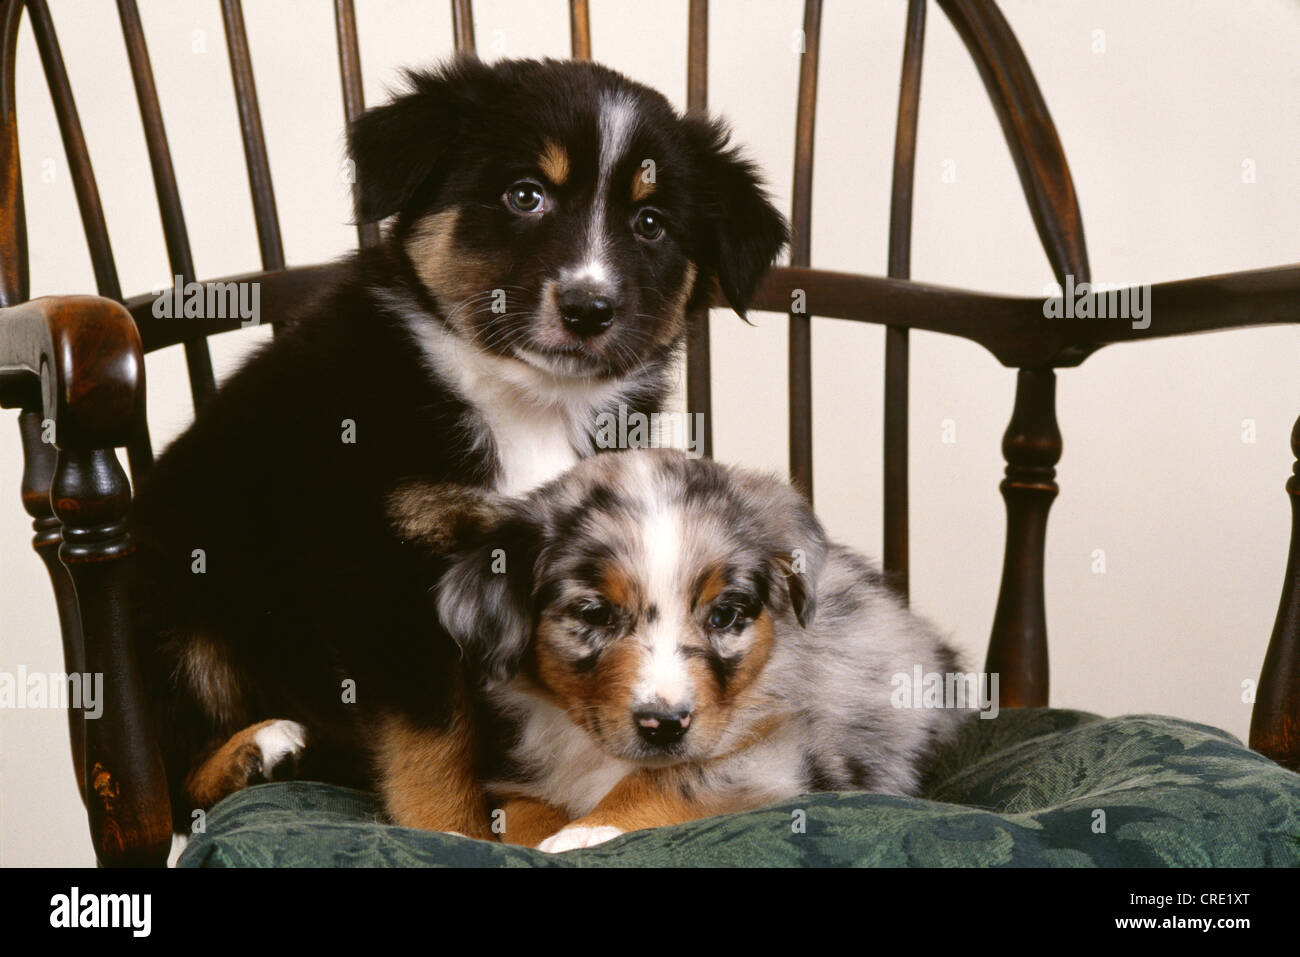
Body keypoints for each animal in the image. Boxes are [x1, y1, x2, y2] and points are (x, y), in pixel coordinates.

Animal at [129, 57, 780, 837]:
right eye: (525, 195)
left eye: (650, 224)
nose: (589, 309)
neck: (524, 400)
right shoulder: (384, 573)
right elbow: (433, 742)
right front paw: (451, 830)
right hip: (173, 595)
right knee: (173, 774)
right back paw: (257, 753)